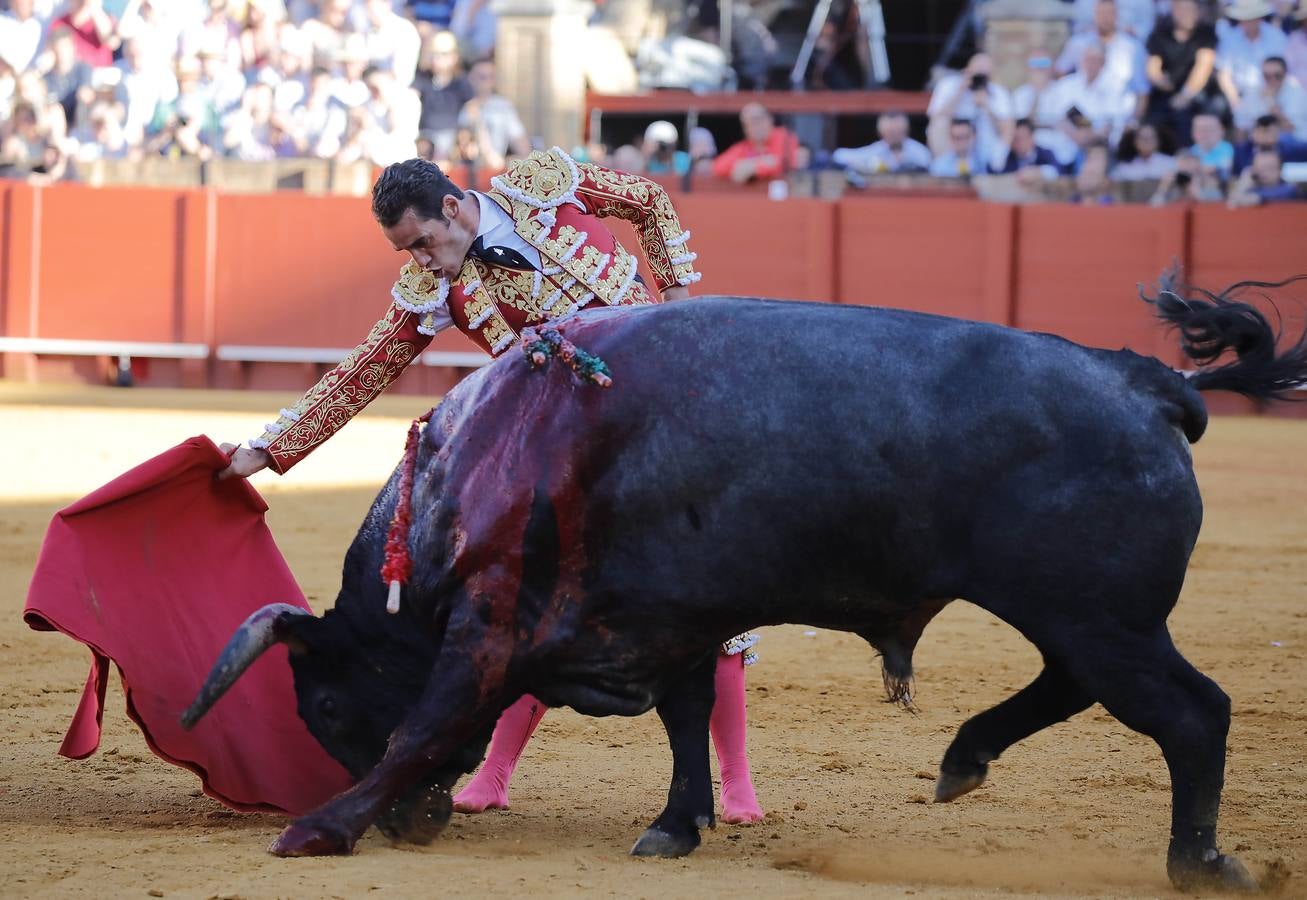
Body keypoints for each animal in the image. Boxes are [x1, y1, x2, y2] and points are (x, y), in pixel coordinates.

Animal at [179, 275, 1301, 893]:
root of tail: (1140, 380)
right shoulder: (669, 614)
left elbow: (427, 721)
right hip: (1087, 619)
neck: (486, 453)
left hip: (1100, 615)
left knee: (1189, 713)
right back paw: (962, 760)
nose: (414, 827)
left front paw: (318, 829)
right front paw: (675, 826)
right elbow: (682, 719)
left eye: (325, 704)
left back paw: (1198, 865)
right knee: (1082, 691)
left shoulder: (491, 623)